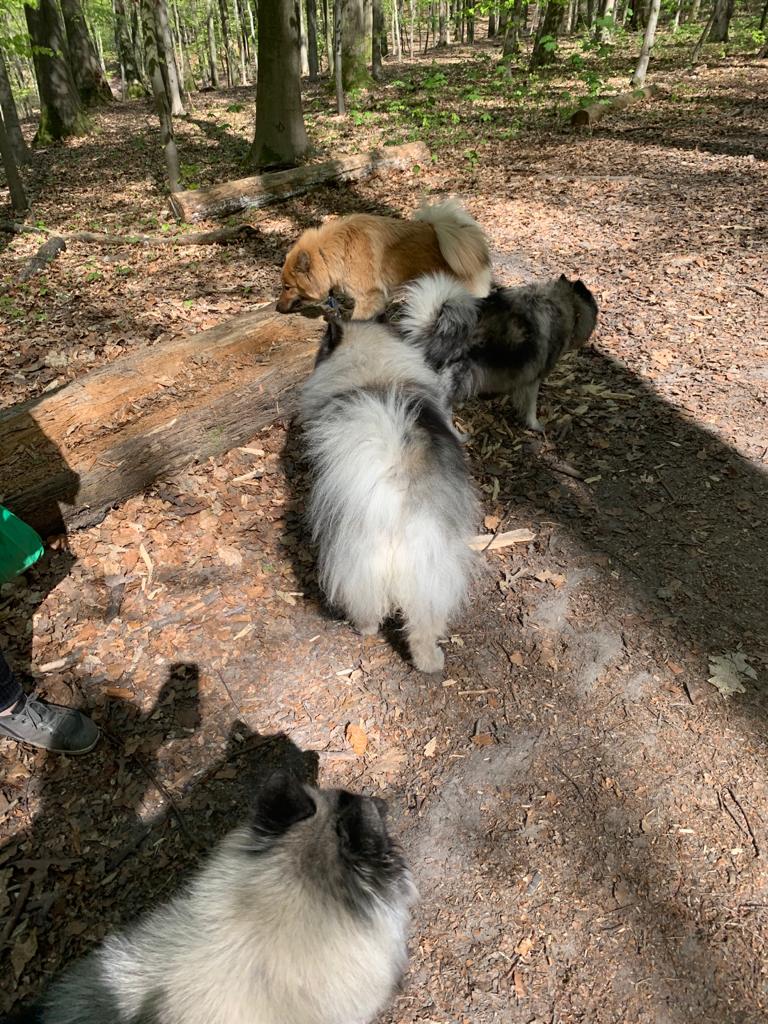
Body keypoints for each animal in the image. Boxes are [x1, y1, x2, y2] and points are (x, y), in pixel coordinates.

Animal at [299, 316, 478, 673]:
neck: (375, 373)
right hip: (428, 574)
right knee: (422, 624)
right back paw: (430, 663)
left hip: (361, 563)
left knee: (368, 606)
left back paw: (364, 629)